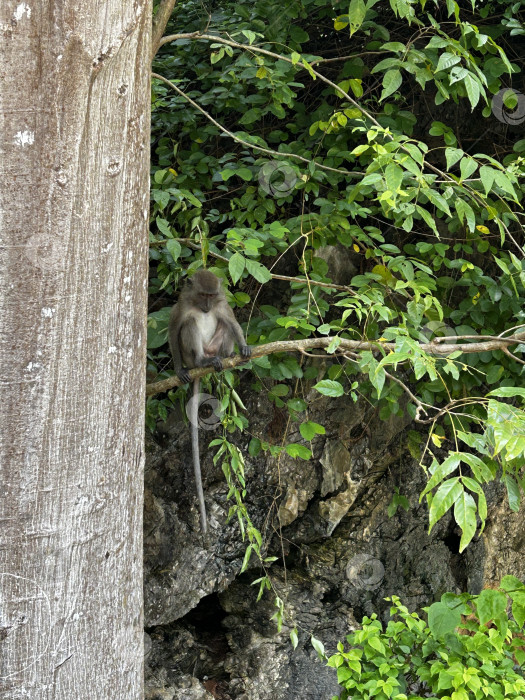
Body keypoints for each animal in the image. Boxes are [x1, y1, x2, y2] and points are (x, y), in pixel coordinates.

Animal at [168, 270, 250, 532]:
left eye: (211, 296)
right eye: (202, 295)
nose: (206, 307)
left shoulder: (222, 303)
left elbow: (231, 322)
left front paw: (244, 347)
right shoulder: (182, 304)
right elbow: (175, 328)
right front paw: (178, 370)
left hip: (216, 346)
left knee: (224, 325)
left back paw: (225, 357)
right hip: (191, 353)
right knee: (189, 326)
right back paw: (201, 362)